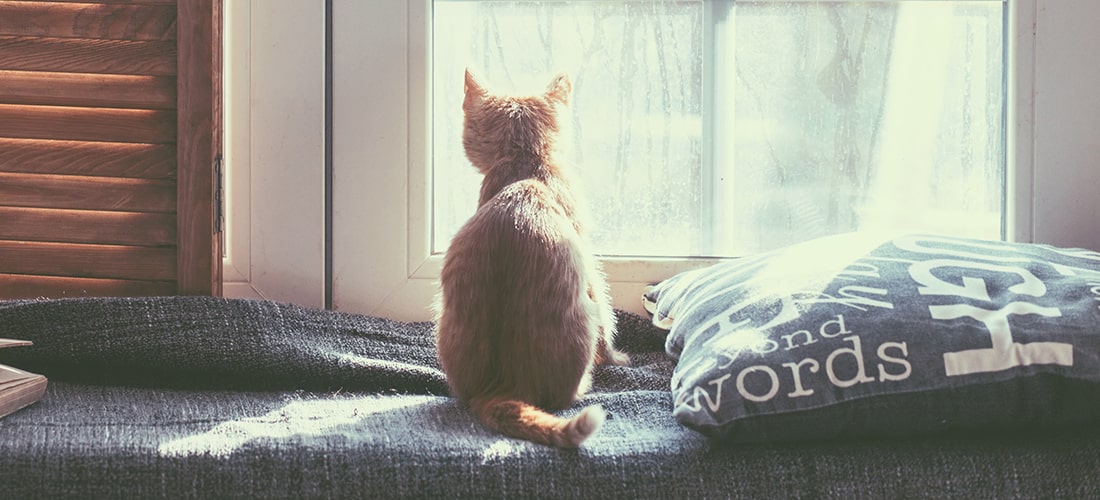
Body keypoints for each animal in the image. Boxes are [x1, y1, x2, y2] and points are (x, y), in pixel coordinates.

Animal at [435, 70, 629, 450]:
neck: (525, 165)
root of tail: (503, 386)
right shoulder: (589, 262)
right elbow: (608, 321)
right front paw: (617, 358)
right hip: (583, 319)